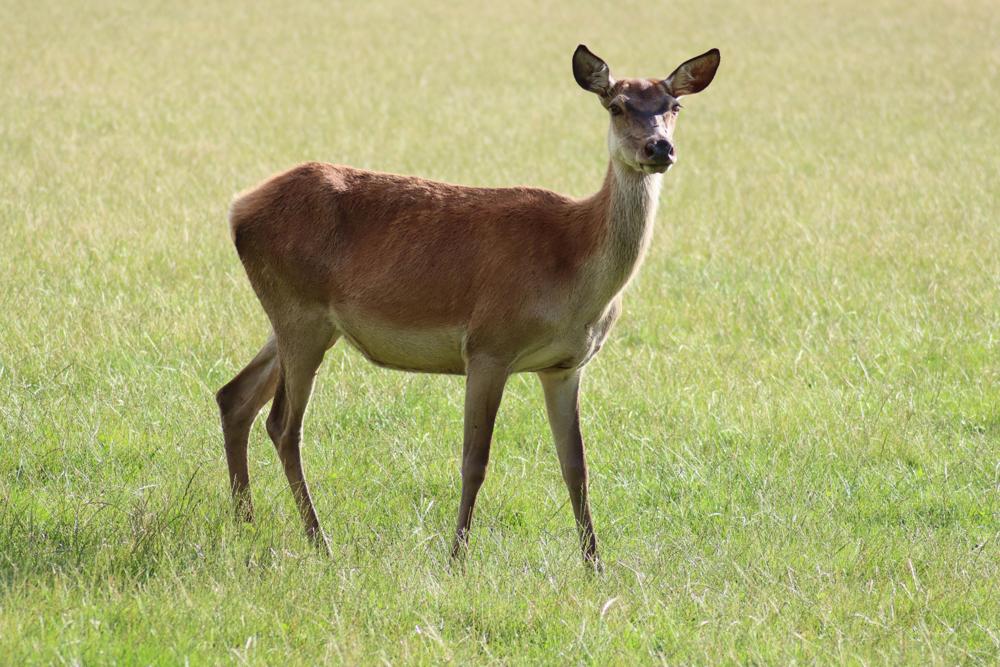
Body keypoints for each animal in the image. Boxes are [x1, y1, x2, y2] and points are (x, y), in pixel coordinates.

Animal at [215, 44, 720, 567]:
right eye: (616, 106)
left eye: (674, 106)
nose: (659, 148)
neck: (574, 271)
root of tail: (237, 209)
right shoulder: (487, 346)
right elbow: (474, 460)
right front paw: (456, 557)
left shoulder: (565, 366)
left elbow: (576, 467)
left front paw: (594, 565)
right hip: (300, 313)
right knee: (282, 424)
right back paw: (319, 540)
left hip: (300, 322)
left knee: (234, 396)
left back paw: (245, 521)